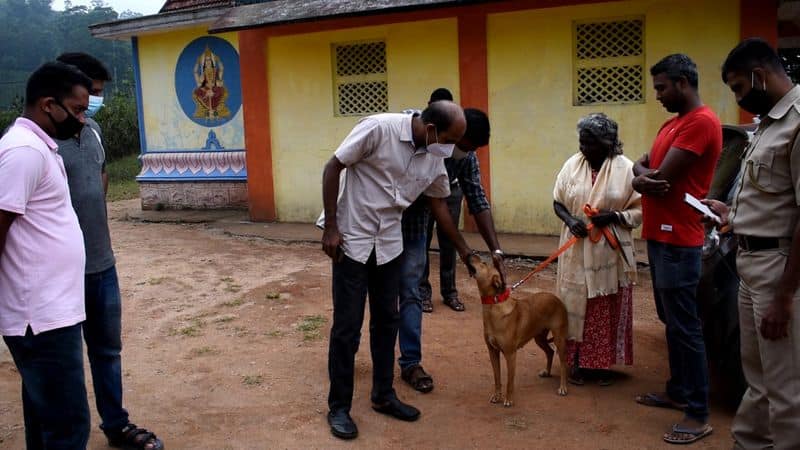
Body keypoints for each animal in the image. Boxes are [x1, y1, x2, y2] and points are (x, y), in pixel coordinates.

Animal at [468, 253, 568, 408]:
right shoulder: (492, 352)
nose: (471, 253)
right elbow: (497, 377)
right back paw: (547, 371)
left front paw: (509, 399)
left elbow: (510, 381)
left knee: (563, 362)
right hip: (539, 338)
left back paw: (563, 387)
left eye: (483, 263)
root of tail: (557, 299)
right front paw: (497, 396)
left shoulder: (510, 354)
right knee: (550, 352)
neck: (494, 305)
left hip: (559, 338)